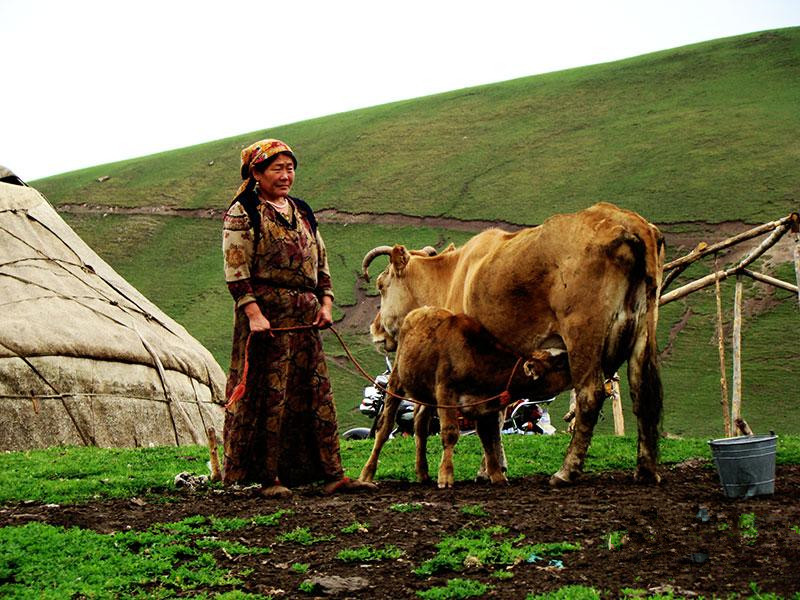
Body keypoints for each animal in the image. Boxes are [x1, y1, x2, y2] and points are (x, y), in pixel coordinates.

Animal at [356, 304, 568, 488]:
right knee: (384, 429)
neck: (474, 355)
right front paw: (446, 476)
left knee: (421, 427)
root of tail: (419, 311)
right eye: (558, 365)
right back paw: (367, 473)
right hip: (397, 382)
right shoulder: (446, 393)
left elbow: (488, 438)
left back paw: (422, 472)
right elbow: (450, 433)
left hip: (426, 395)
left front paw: (496, 475)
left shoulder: (484, 404)